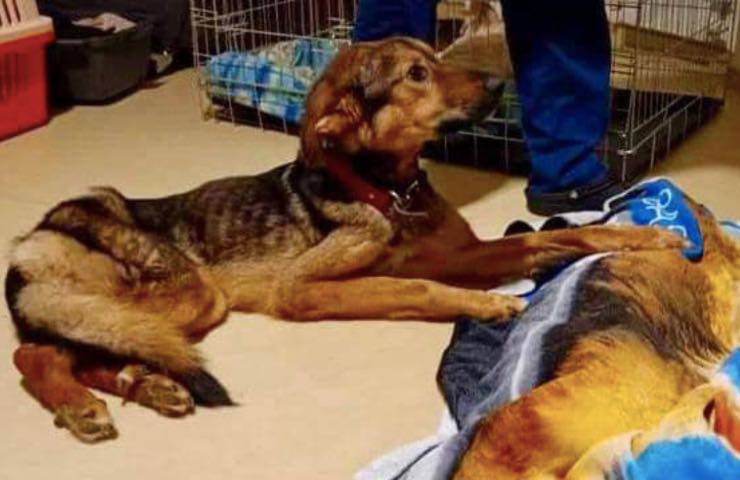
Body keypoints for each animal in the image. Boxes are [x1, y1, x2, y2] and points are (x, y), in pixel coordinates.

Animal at [3, 37, 682, 442]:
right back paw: (82, 406)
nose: (496, 87)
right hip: (183, 293)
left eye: (435, 57)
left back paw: (147, 385)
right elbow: (418, 286)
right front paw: (484, 304)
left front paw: (646, 236)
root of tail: (33, 238)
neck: (388, 188)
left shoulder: (464, 252)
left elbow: (570, 237)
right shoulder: (300, 288)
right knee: (36, 352)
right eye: (416, 74)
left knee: (84, 348)